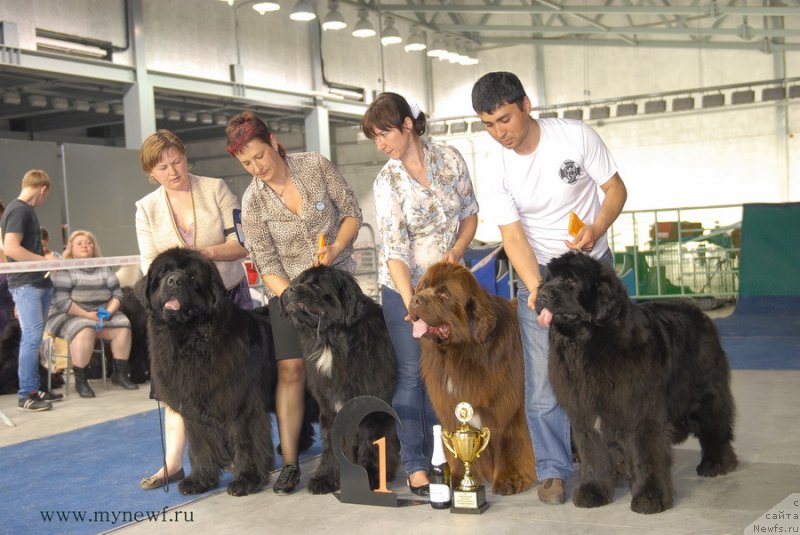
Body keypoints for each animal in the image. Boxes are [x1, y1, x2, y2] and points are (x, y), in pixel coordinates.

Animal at [135, 248, 278, 498]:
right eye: (163, 274)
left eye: (192, 277)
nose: (174, 280)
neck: (190, 339)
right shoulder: (193, 408)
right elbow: (200, 445)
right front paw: (199, 480)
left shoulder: (241, 405)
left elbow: (246, 442)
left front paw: (246, 480)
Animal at [282, 266, 400, 496]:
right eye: (301, 280)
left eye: (317, 286)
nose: (289, 289)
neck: (333, 341)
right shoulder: (330, 406)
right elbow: (331, 445)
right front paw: (327, 478)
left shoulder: (372, 407)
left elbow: (372, 443)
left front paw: (372, 477)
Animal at [410, 262, 536, 496]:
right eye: (422, 287)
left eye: (443, 293)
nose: (415, 299)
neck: (461, 352)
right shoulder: (452, 408)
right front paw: (457, 479)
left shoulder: (508, 406)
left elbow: (507, 439)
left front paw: (508, 480)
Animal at [536, 253, 740, 516]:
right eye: (547, 280)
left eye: (571, 282)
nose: (541, 295)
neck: (590, 345)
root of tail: (695, 309)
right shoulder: (585, 414)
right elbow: (593, 456)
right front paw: (593, 492)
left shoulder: (639, 412)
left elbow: (645, 456)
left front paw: (649, 499)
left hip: (704, 393)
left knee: (715, 425)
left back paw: (716, 463)